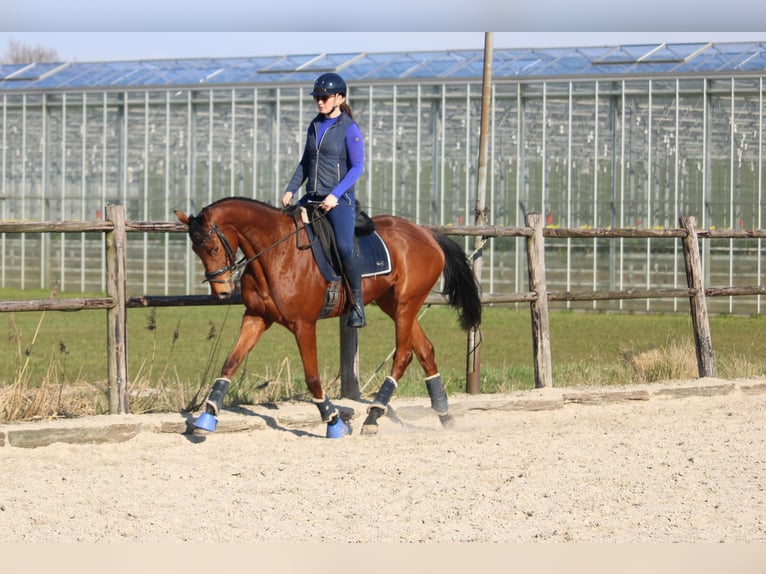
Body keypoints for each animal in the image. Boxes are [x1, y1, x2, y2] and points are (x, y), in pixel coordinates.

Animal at [177, 199, 484, 440]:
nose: (221, 292)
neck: (276, 253)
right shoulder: (256, 317)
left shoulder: (303, 325)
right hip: (394, 305)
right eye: (195, 250)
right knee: (425, 351)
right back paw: (444, 414)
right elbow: (230, 363)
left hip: (407, 305)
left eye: (214, 249)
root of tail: (427, 233)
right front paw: (207, 417)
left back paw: (373, 416)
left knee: (403, 355)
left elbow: (312, 377)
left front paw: (334, 421)